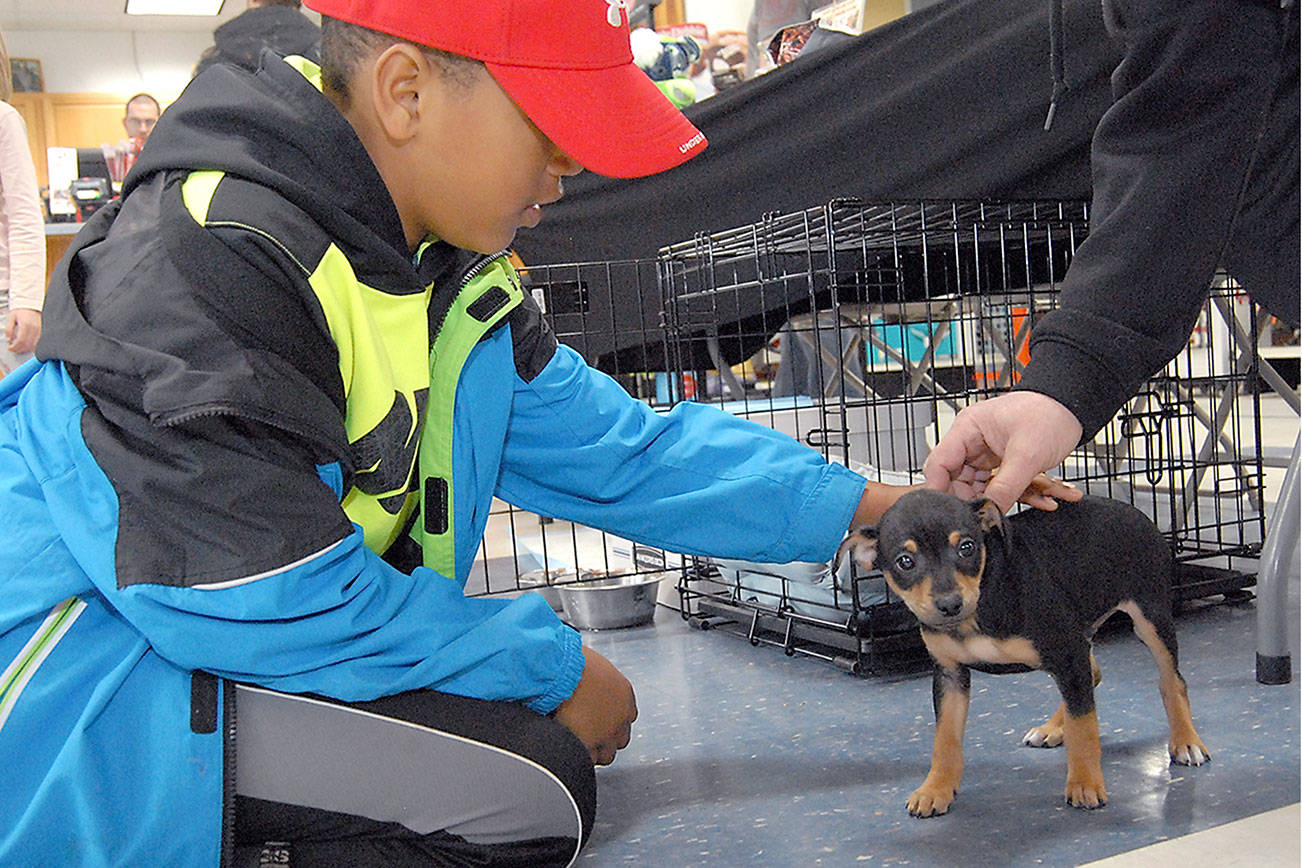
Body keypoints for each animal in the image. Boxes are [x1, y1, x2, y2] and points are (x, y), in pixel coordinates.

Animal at [838, 491, 1203, 817]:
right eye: (906, 561)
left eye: (966, 547)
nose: (949, 604)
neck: (978, 609)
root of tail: (1134, 511)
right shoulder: (950, 674)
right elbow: (945, 739)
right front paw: (936, 789)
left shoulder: (1067, 652)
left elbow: (1084, 728)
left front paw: (1085, 784)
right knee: (1093, 673)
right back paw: (1053, 728)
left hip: (1149, 618)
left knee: (1171, 681)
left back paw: (1186, 741)